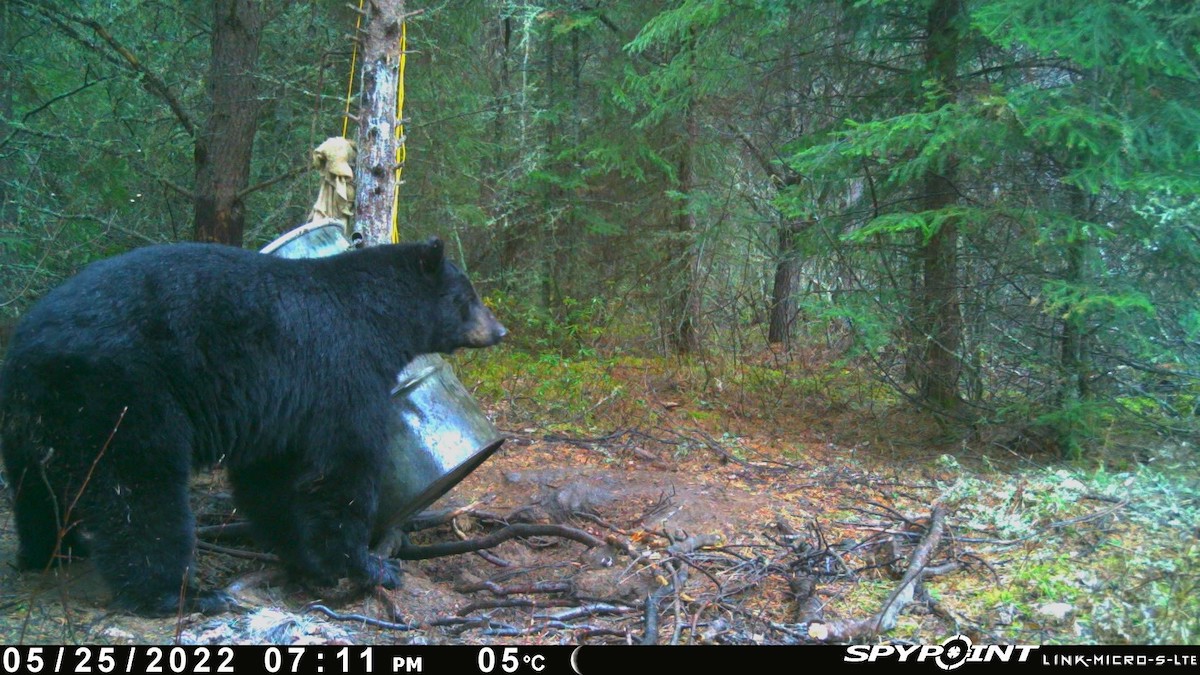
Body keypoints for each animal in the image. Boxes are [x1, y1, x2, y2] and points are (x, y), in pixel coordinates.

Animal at [0, 237, 506, 616]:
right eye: (467, 298)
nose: (499, 331)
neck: (378, 318)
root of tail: (26, 351)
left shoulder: (280, 407)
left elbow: (272, 480)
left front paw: (303, 556)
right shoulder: (341, 372)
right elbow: (342, 468)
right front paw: (367, 565)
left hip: (37, 423)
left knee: (36, 490)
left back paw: (53, 552)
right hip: (119, 396)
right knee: (140, 492)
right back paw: (179, 594)